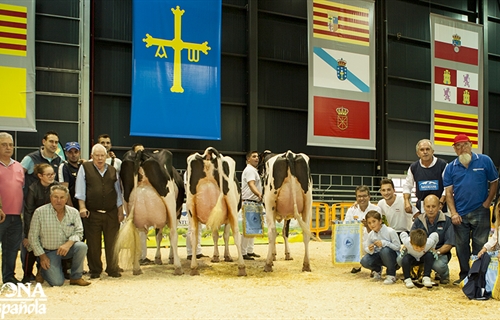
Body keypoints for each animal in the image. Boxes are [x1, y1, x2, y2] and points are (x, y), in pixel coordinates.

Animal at [186, 147, 246, 276]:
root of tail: (208, 155)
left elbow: (215, 235)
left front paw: (216, 256)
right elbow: (225, 235)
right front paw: (226, 256)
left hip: (190, 208)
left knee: (193, 236)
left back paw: (193, 267)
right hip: (232, 206)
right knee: (236, 233)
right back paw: (242, 267)